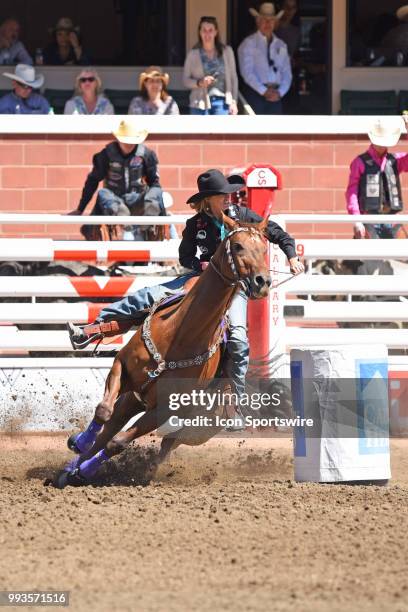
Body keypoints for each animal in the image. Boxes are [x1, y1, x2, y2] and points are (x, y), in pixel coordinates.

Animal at [54, 215, 270, 488]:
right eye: (239, 246)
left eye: (265, 249)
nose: (263, 282)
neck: (180, 335)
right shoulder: (122, 368)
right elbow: (103, 412)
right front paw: (79, 445)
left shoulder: (166, 408)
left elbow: (118, 443)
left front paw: (84, 471)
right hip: (135, 397)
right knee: (112, 424)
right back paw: (72, 463)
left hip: (192, 424)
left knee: (164, 445)